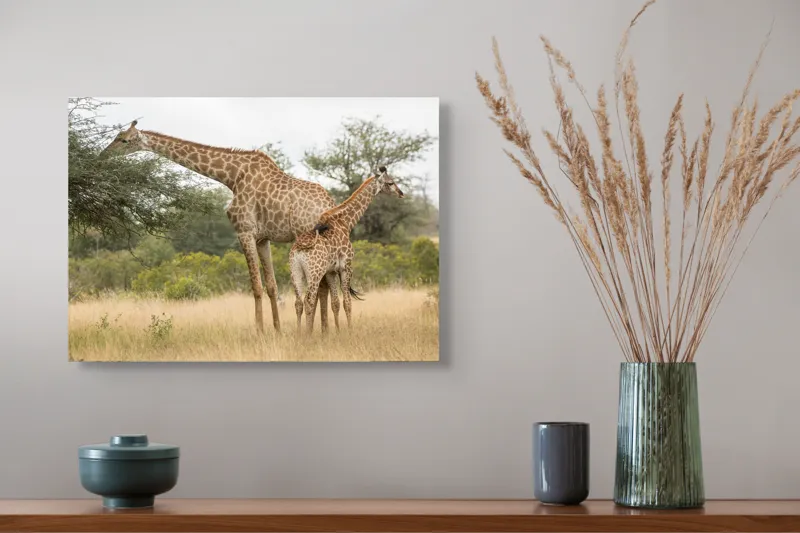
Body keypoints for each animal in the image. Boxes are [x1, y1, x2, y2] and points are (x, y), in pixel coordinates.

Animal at [99, 120, 336, 334]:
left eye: (124, 139)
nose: (103, 155)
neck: (232, 177)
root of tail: (329, 204)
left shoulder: (244, 231)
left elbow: (256, 286)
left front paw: (259, 331)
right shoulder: (262, 238)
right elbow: (271, 285)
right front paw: (277, 330)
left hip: (307, 238)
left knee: (319, 286)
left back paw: (316, 331)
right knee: (323, 285)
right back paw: (325, 330)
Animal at [289, 166, 405, 334]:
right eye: (390, 182)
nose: (401, 193)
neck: (346, 222)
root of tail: (299, 249)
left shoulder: (330, 271)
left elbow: (335, 303)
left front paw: (338, 332)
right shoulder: (346, 266)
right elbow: (347, 302)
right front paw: (350, 331)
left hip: (295, 271)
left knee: (298, 302)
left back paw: (299, 334)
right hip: (314, 273)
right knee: (309, 300)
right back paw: (307, 335)